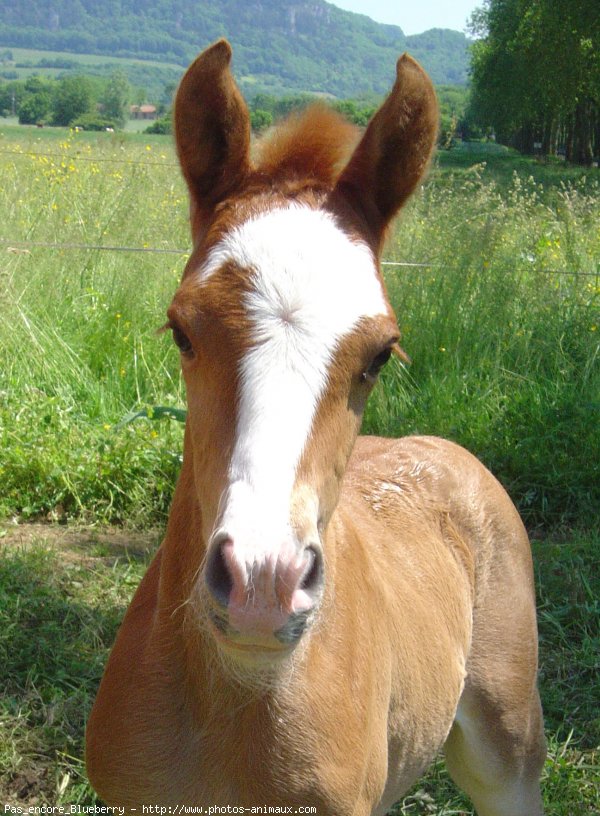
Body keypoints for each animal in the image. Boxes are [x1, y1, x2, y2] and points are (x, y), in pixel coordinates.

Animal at [86, 39, 548, 816]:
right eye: (181, 330)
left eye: (381, 353)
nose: (261, 584)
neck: (230, 708)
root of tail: (442, 448)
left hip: (508, 754)